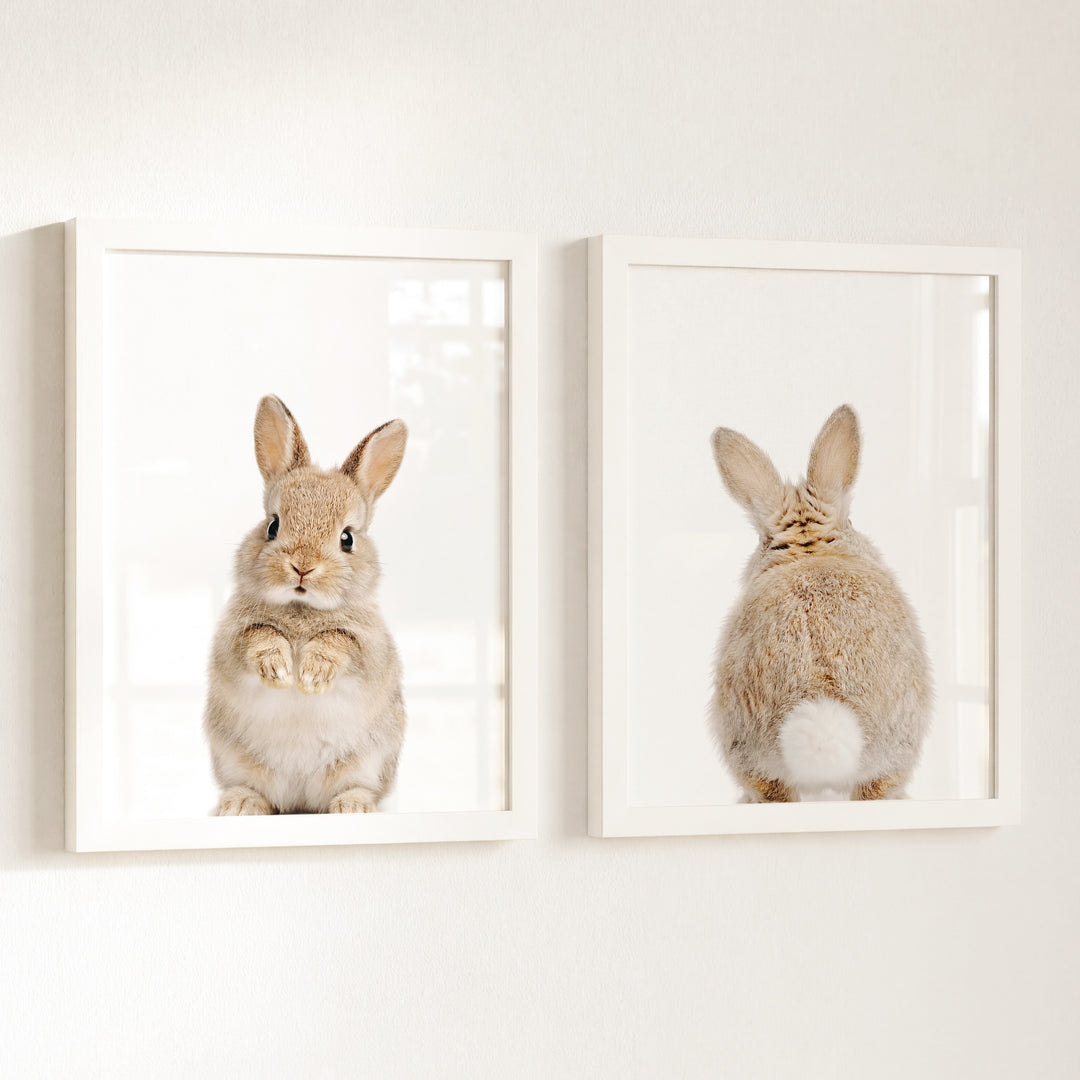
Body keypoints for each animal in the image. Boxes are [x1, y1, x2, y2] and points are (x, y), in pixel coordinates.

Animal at [203, 394, 408, 816]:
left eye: (347, 538)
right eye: (272, 526)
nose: (302, 566)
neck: (302, 609)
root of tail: (300, 801)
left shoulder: (368, 646)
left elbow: (338, 642)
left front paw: (311, 676)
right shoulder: (233, 639)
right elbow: (260, 637)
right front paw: (280, 671)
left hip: (367, 762)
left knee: (355, 788)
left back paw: (353, 807)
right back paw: (240, 804)